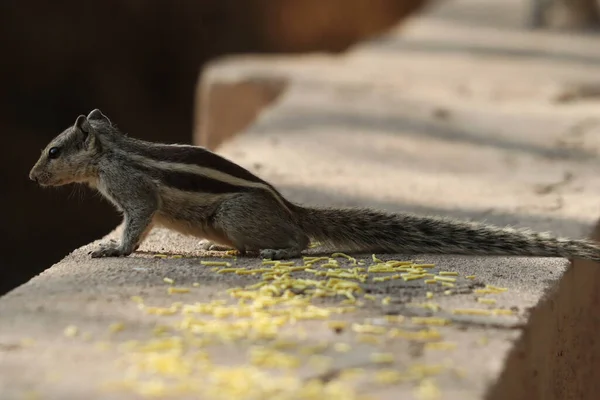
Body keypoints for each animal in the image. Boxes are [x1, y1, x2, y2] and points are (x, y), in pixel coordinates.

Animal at [29, 108, 600, 262]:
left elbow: (137, 223)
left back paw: (279, 250)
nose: (32, 176)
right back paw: (233, 252)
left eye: (54, 151)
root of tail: (289, 207)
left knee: (302, 240)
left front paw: (112, 250)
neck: (110, 152)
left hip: (233, 214)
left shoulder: (136, 193)